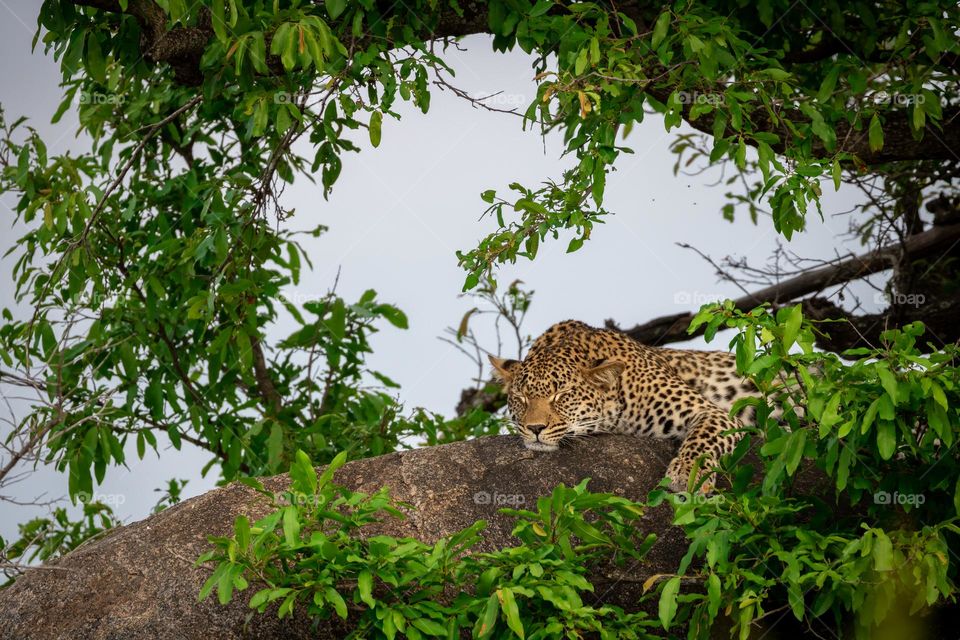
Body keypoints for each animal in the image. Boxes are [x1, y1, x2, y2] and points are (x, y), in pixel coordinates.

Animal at [488, 320, 760, 491]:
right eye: (521, 397)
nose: (535, 428)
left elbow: (702, 440)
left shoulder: (713, 413)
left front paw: (686, 474)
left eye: (562, 395)